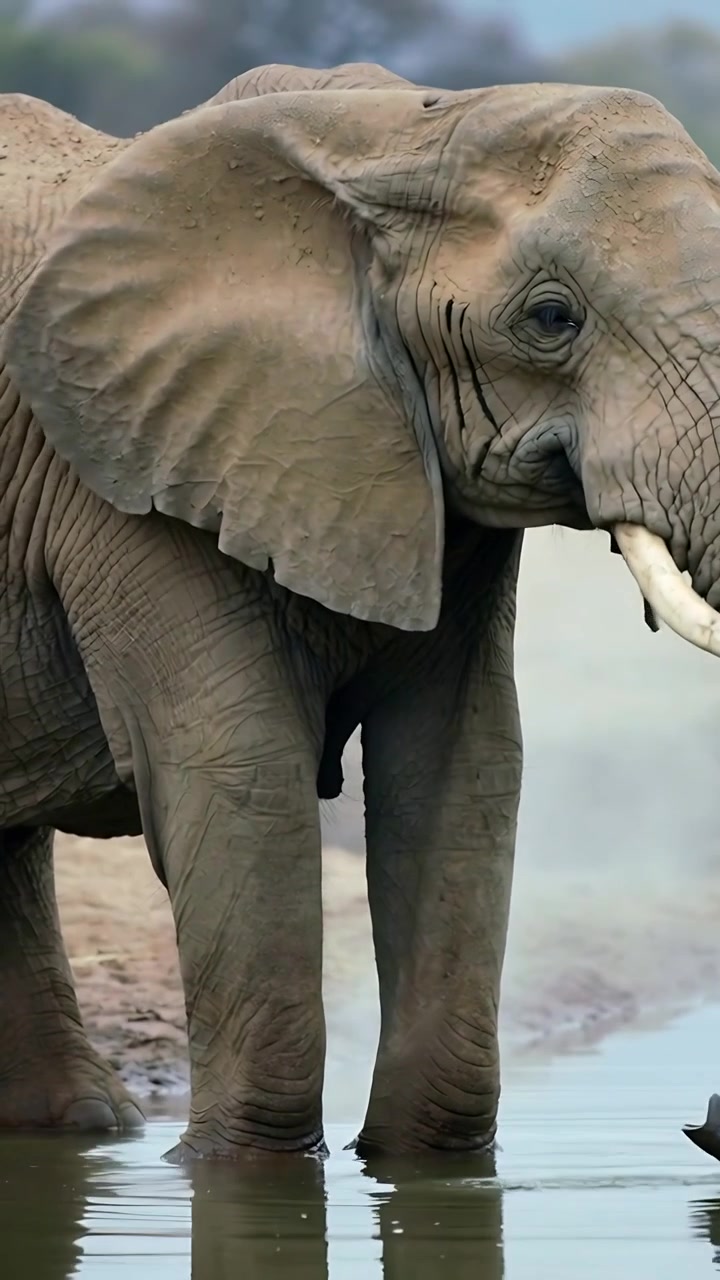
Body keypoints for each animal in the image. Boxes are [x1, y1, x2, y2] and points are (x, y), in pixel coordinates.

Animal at [1, 58, 720, 1162]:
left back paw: (79, 1126)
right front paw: (231, 1171)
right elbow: (243, 771)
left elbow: (462, 768)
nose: (702, 1120)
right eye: (552, 319)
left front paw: (423, 1166)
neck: (393, 132)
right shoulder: (126, 475)